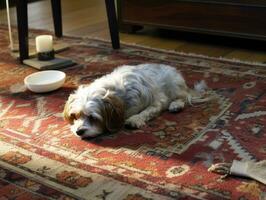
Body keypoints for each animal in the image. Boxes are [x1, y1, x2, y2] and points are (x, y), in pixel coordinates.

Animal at [62, 63, 210, 138]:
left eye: (93, 117)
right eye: (75, 116)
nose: (79, 131)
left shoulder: (157, 100)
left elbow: (145, 112)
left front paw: (134, 119)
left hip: (173, 85)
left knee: (183, 97)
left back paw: (176, 105)